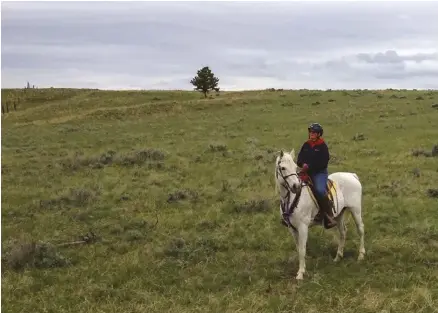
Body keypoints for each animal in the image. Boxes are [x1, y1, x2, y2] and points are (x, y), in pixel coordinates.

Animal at [274, 150, 366, 280]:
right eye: (283, 168)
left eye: (295, 167)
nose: (296, 187)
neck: (291, 198)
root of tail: (352, 175)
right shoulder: (292, 229)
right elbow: (298, 248)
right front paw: (302, 268)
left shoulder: (303, 227)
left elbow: (302, 249)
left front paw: (301, 273)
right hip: (339, 214)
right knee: (343, 232)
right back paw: (338, 257)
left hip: (355, 209)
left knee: (360, 229)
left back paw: (361, 255)